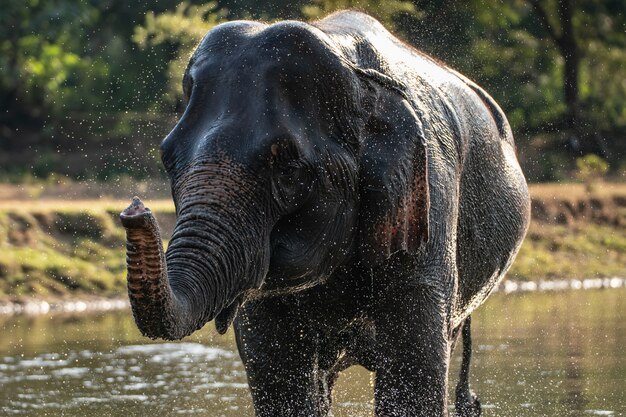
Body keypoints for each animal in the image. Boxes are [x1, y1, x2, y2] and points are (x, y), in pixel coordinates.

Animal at [120, 8, 528, 416]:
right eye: (168, 159)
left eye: (289, 171)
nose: (134, 209)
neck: (356, 76)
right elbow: (277, 371)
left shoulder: (430, 206)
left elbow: (414, 374)